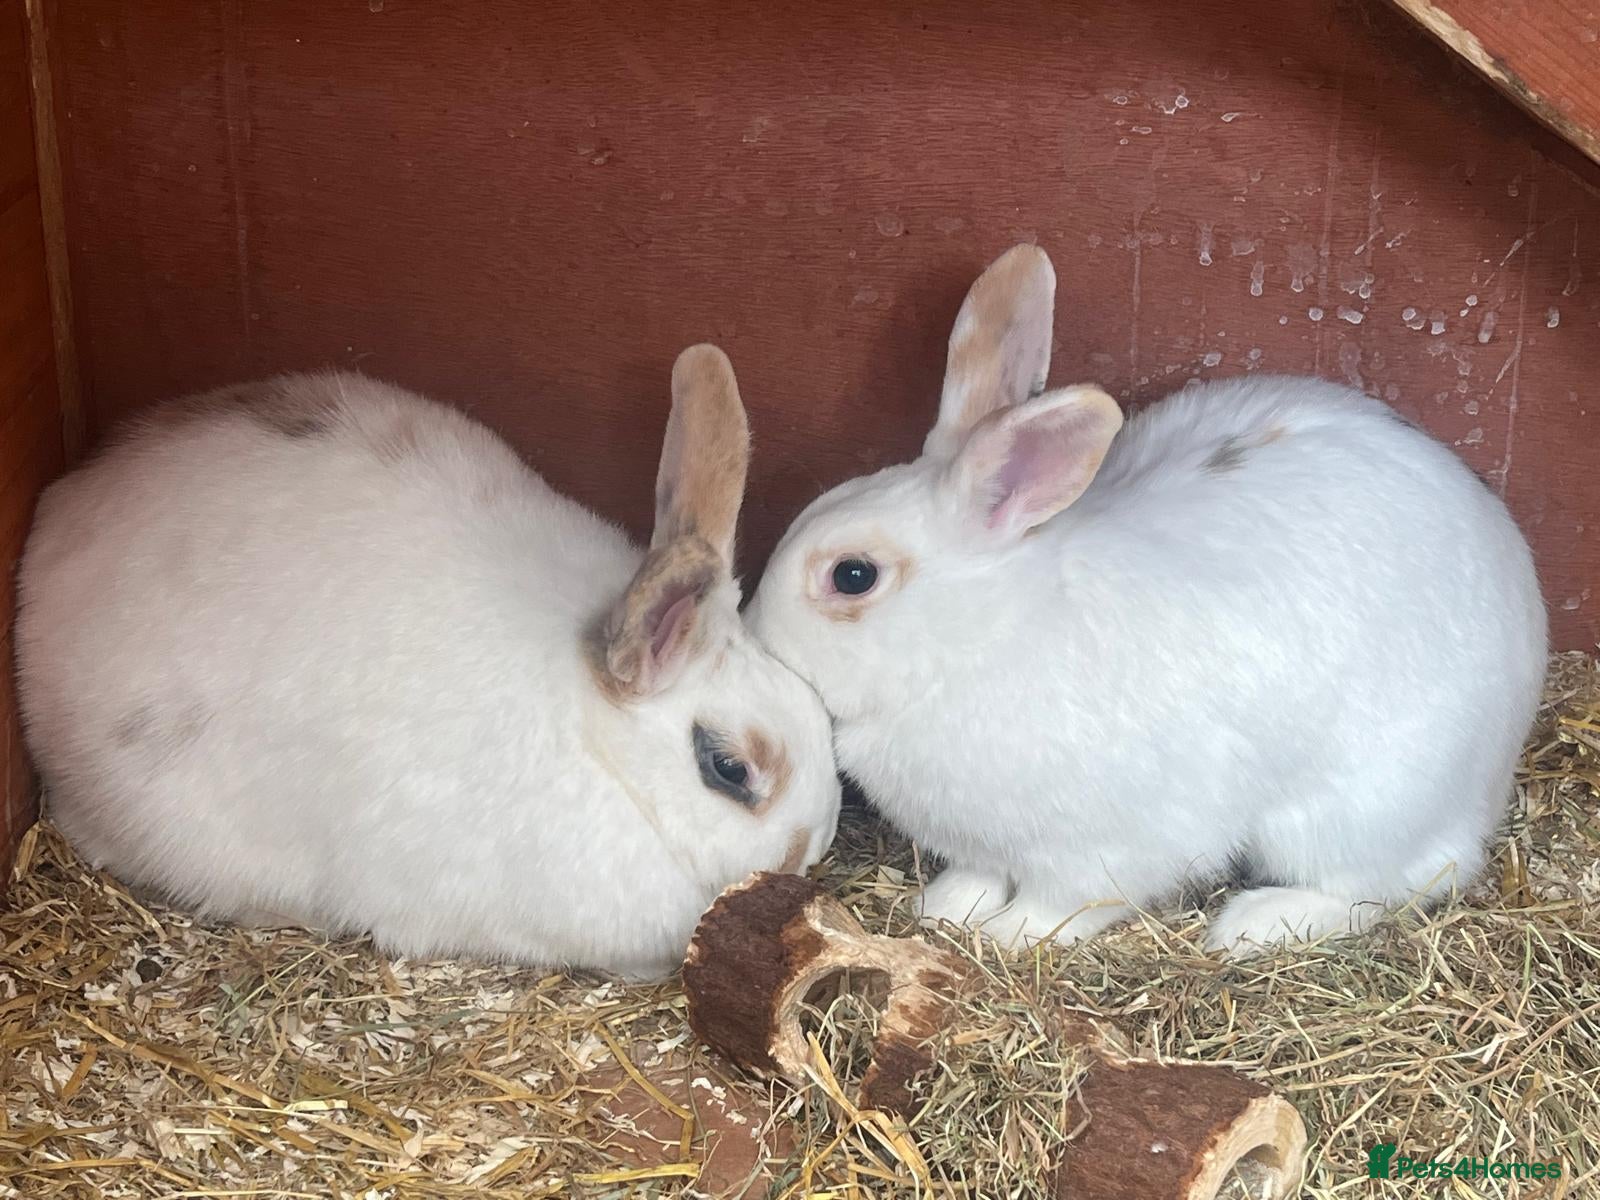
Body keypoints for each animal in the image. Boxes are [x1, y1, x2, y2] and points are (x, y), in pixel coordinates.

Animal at [746, 244, 1548, 957]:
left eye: (853, 576)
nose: (752, 632)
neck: (983, 640)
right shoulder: (985, 844)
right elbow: (976, 876)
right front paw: (946, 909)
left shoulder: (1106, 849)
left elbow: (1064, 905)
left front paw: (1009, 936)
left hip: (1356, 810)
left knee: (1400, 881)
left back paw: (1254, 924)